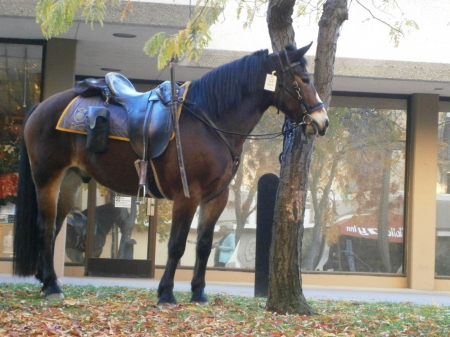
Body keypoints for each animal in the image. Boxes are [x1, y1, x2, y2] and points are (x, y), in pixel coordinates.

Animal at [12, 41, 328, 302]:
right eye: (304, 79)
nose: (321, 121)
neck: (209, 121)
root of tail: (41, 106)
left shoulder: (217, 197)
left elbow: (203, 245)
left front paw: (198, 293)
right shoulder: (187, 195)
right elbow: (177, 245)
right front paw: (166, 293)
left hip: (70, 180)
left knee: (54, 229)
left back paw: (46, 281)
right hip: (47, 178)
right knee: (45, 226)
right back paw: (52, 286)